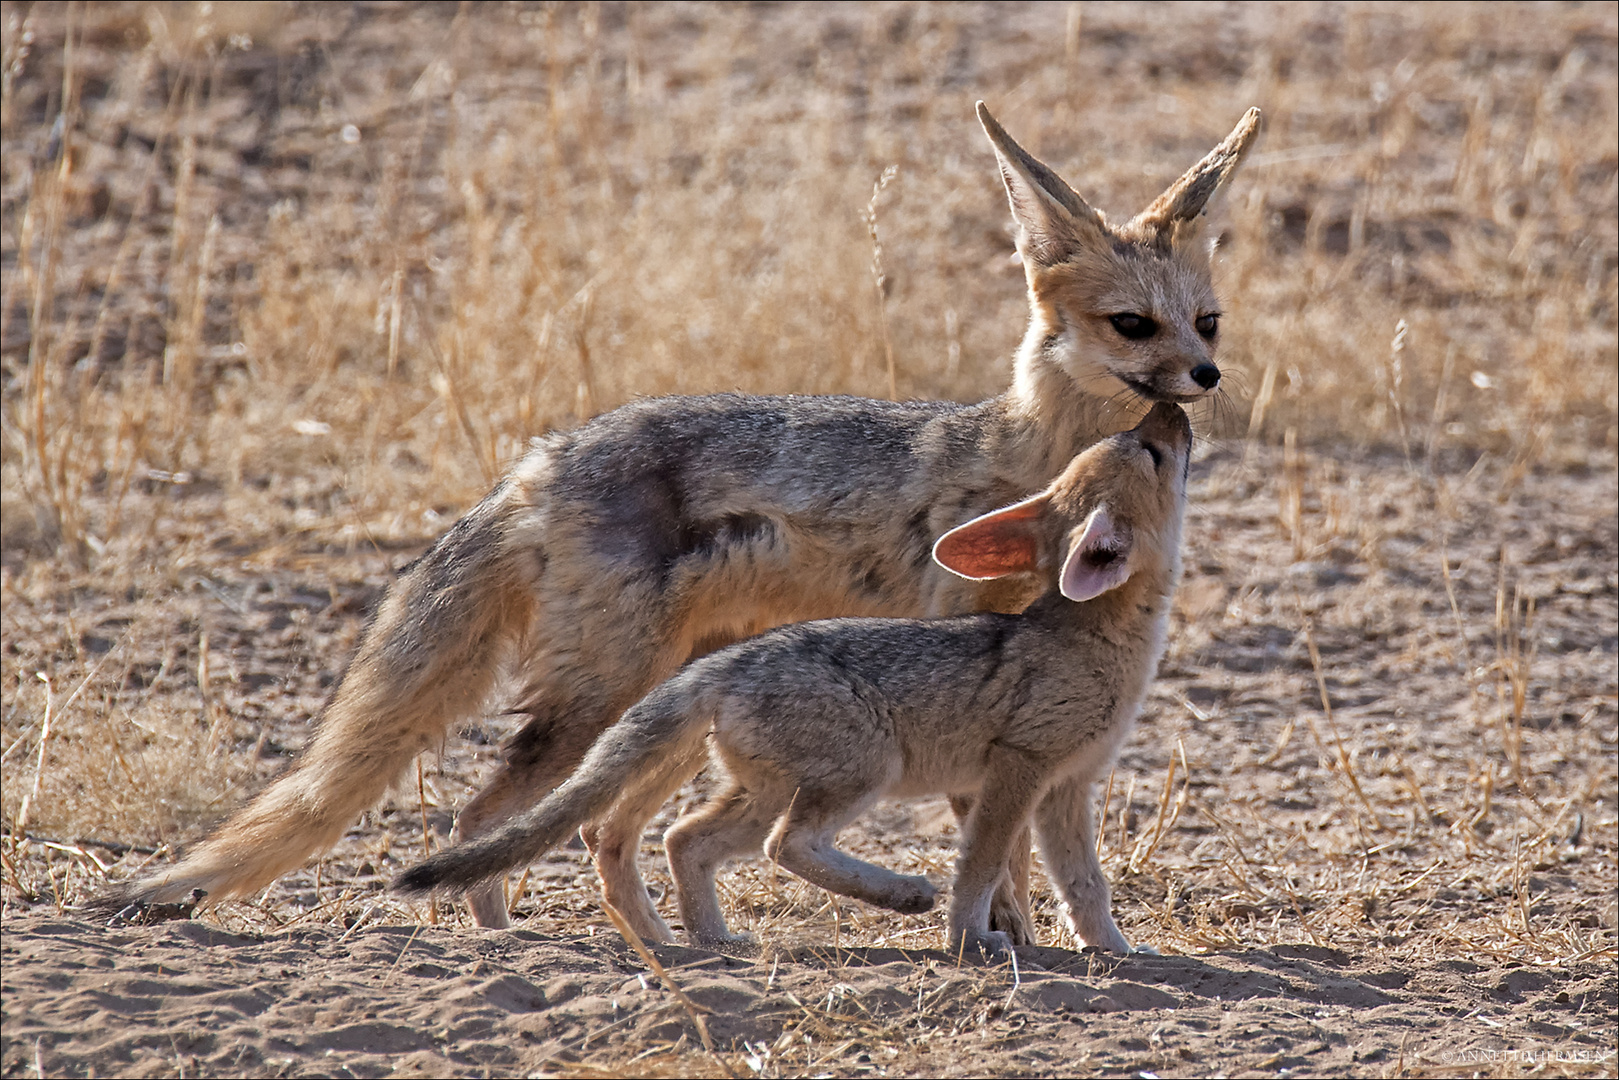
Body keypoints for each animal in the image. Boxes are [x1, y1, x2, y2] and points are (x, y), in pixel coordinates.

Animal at [107, 101, 1256, 932]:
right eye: (1132, 326)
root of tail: (540, 457)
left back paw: (663, 940)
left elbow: (1012, 839)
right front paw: (1001, 932)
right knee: (494, 817)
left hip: (658, 704)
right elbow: (996, 839)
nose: (1199, 383)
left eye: (1205, 322)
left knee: (598, 831)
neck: (1029, 458)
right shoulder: (984, 679)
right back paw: (503, 939)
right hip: (600, 698)